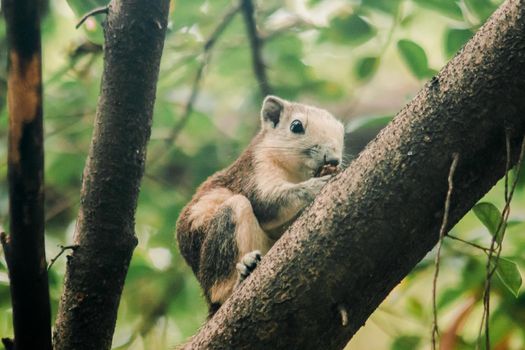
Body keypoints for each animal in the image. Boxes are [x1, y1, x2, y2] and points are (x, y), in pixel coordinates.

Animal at [175, 95, 344, 314]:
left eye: (342, 134)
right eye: (296, 126)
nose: (333, 158)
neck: (295, 173)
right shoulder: (254, 170)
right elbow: (266, 204)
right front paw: (315, 185)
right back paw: (240, 276)